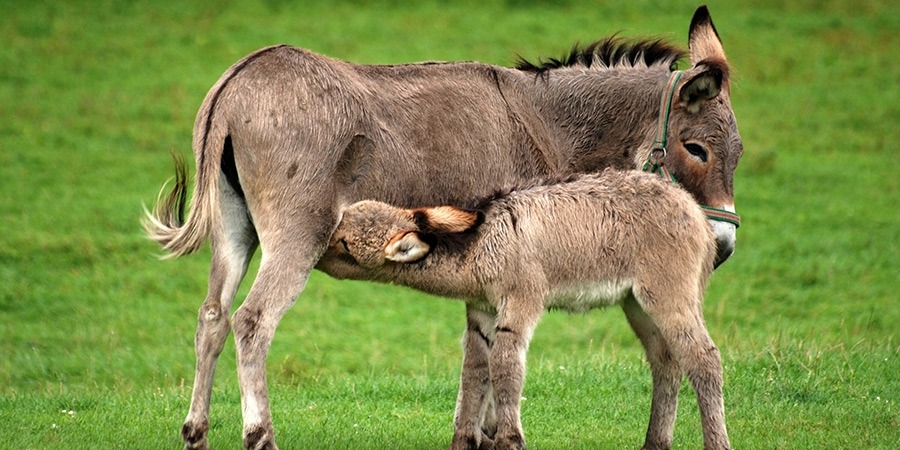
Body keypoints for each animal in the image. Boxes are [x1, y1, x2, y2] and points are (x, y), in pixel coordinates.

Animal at [324, 170, 732, 450]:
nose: (318, 247)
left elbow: (506, 366)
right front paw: (463, 440)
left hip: (668, 293)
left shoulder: (520, 300)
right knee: (667, 361)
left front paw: (510, 439)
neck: (482, 243)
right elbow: (475, 371)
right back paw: (654, 443)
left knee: (704, 360)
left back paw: (716, 442)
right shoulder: (482, 311)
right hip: (637, 304)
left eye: (344, 244)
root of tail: (692, 208)